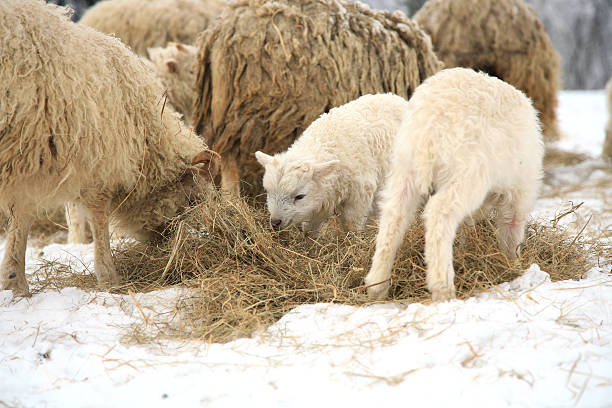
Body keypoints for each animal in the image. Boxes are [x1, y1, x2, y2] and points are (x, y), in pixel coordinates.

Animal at [0, 0, 220, 296]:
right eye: (192, 200)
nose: (165, 246)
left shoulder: (31, 159)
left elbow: (21, 216)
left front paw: (15, 281)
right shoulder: (97, 157)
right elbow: (98, 215)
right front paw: (108, 276)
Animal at [253, 93, 412, 233]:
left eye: (299, 196)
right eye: (268, 191)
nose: (275, 222)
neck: (325, 141)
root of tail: (395, 97)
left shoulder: (359, 194)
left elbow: (352, 225)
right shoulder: (319, 200)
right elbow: (310, 228)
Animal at [364, 67, 544, 302]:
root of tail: (430, 126)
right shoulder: (519, 191)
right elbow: (511, 229)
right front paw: (512, 264)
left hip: (404, 169)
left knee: (394, 216)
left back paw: (377, 285)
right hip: (465, 174)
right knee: (439, 214)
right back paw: (442, 286)